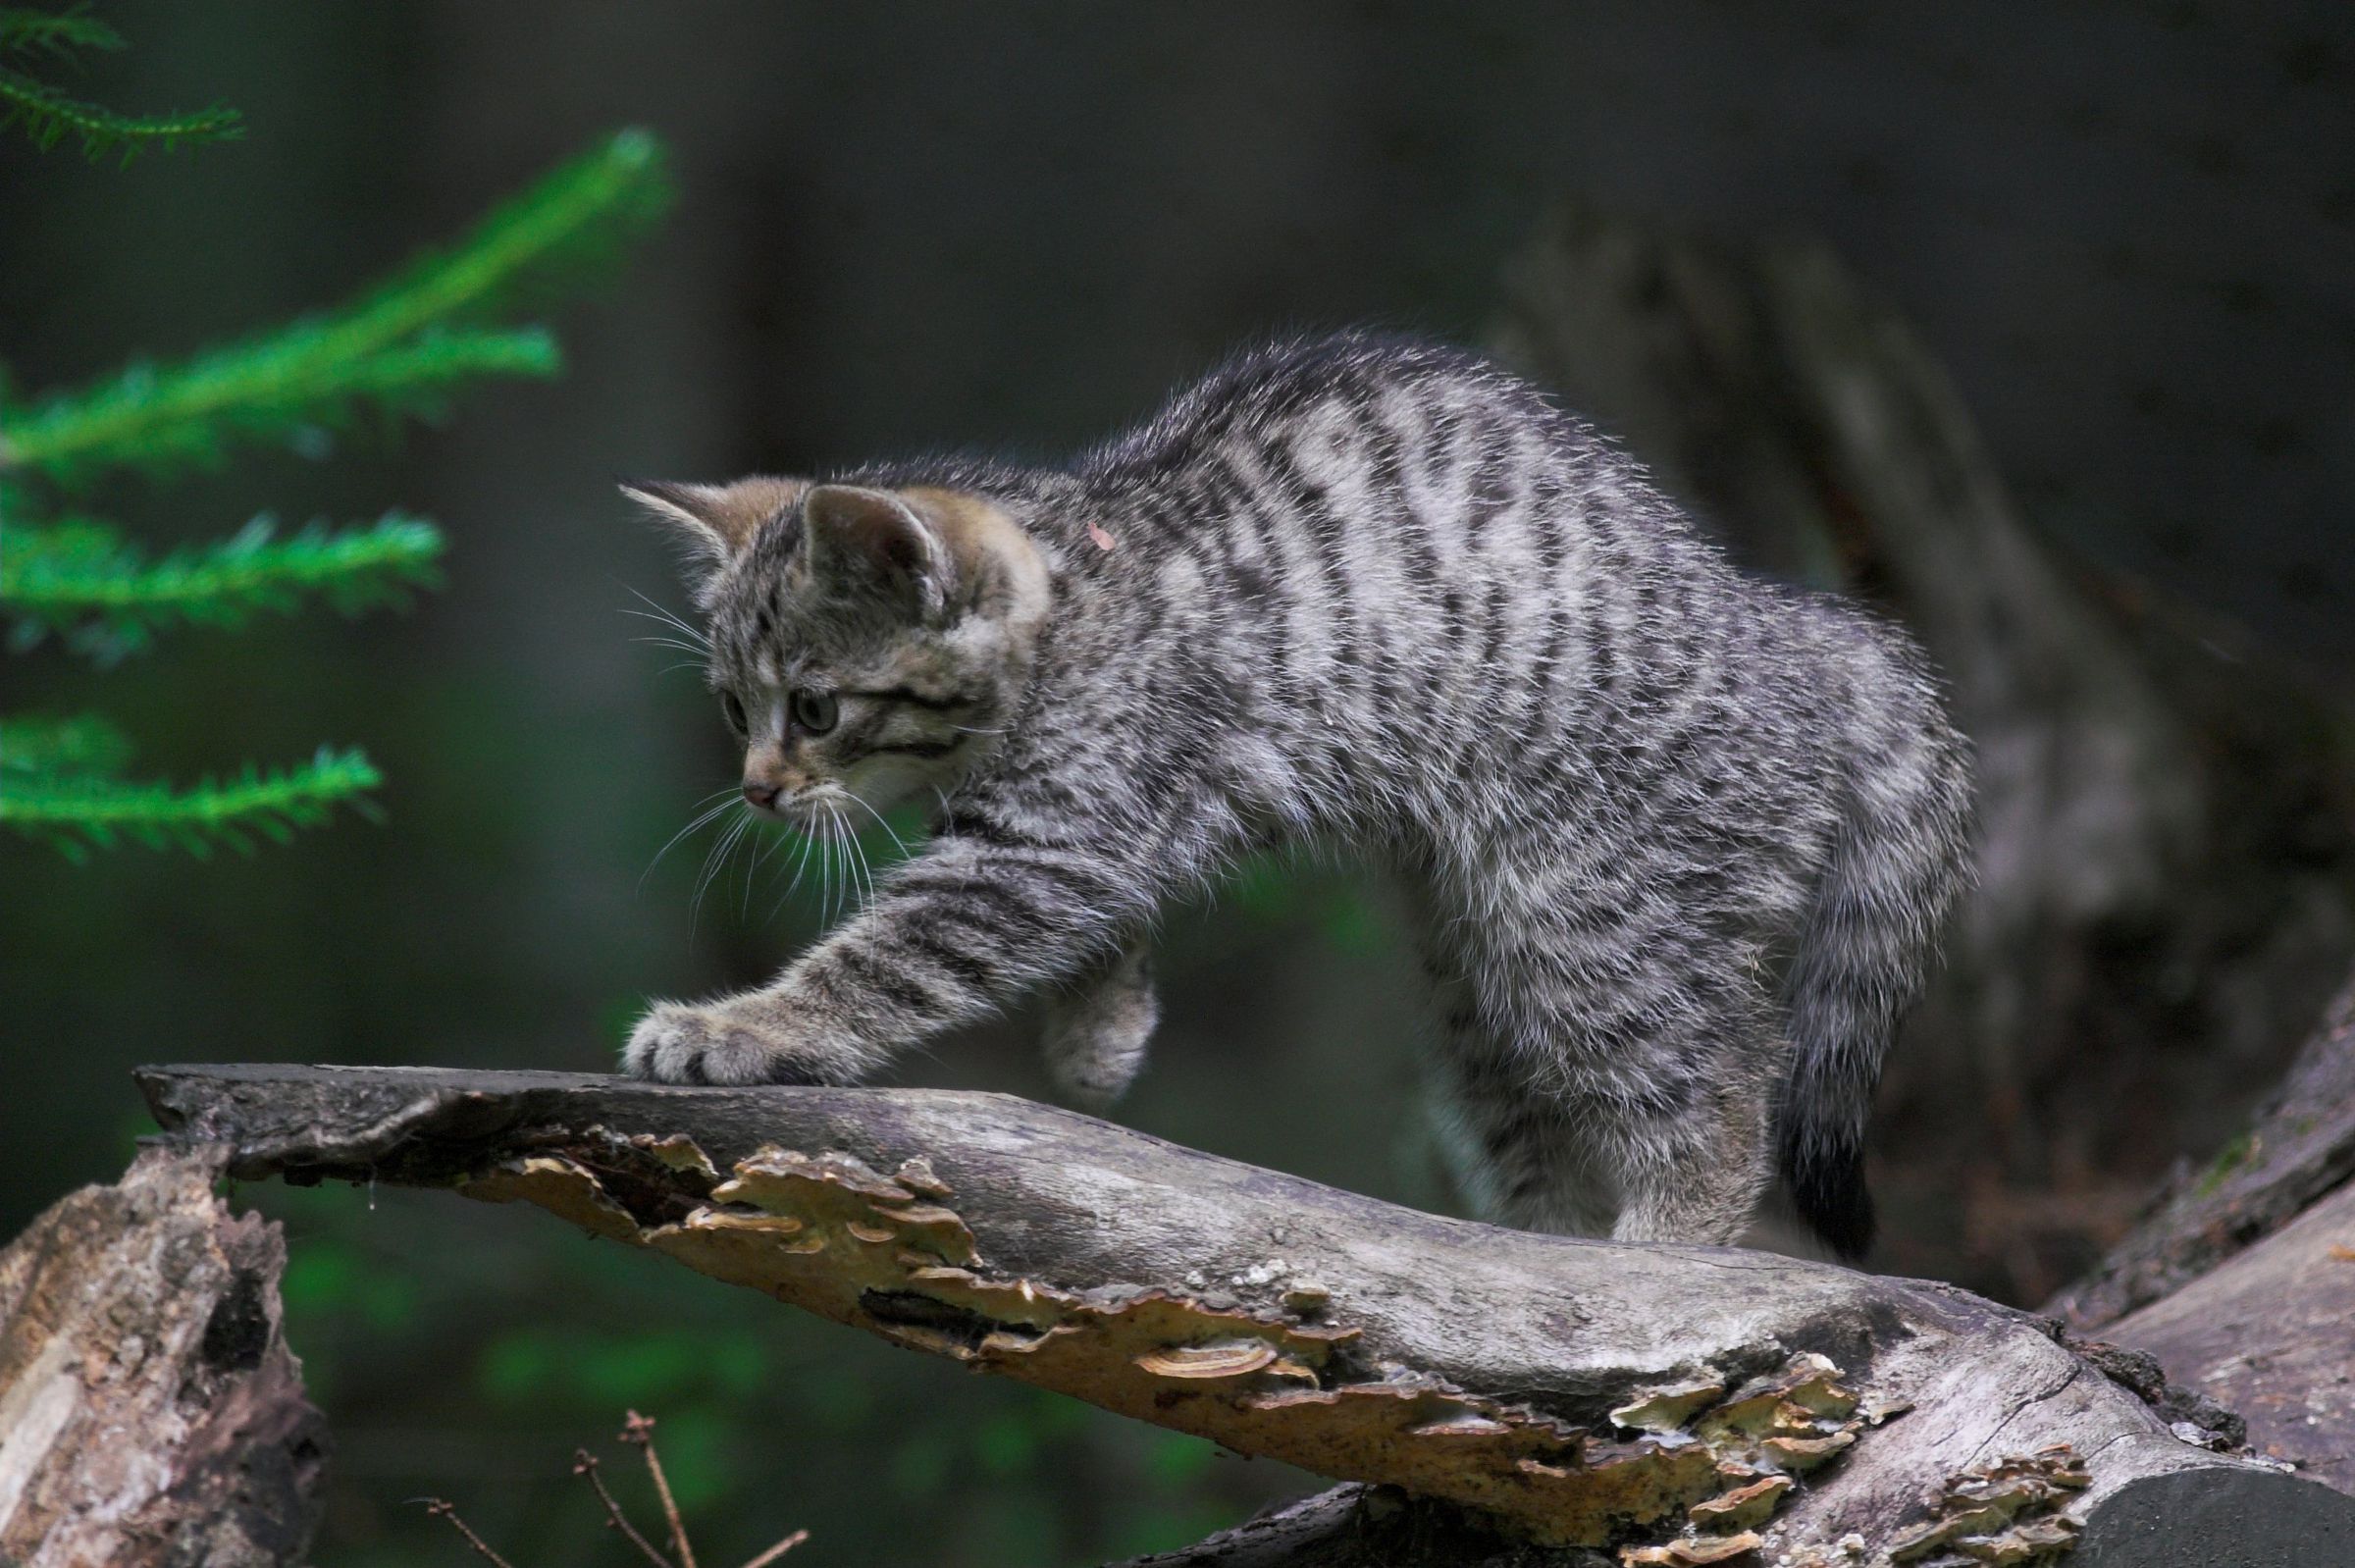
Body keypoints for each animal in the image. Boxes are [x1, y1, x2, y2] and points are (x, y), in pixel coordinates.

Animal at [621, 332, 1968, 1262]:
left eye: (813, 708)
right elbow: (1101, 916)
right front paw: (1102, 1028)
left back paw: (1667, 1243)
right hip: (1471, 970)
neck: (1071, 596)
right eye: (734, 707)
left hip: (1588, 906)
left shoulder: (1049, 836)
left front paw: (749, 1022)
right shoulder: (1098, 823)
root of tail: (1791, 628)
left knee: (1725, 1073)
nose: (757, 792)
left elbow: (894, 948)